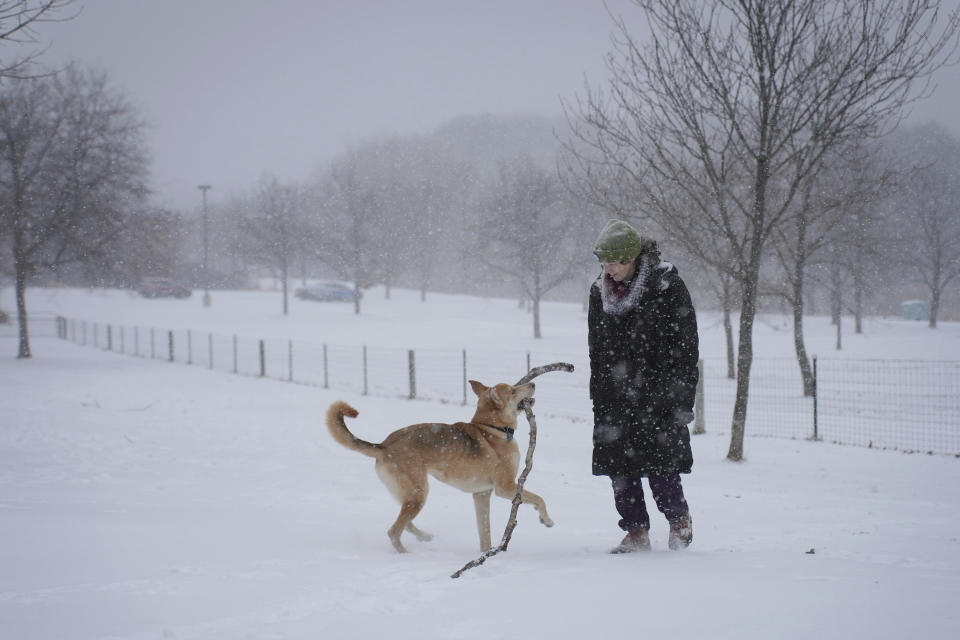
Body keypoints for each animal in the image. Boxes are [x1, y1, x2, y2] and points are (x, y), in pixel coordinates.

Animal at [328, 380, 556, 552]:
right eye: (513, 390)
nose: (533, 383)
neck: (492, 428)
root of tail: (384, 446)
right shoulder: (506, 487)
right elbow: (539, 498)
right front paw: (546, 519)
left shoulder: (482, 494)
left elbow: (484, 531)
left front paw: (486, 555)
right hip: (419, 493)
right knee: (394, 531)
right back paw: (407, 555)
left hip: (407, 495)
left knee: (406, 524)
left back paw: (425, 537)